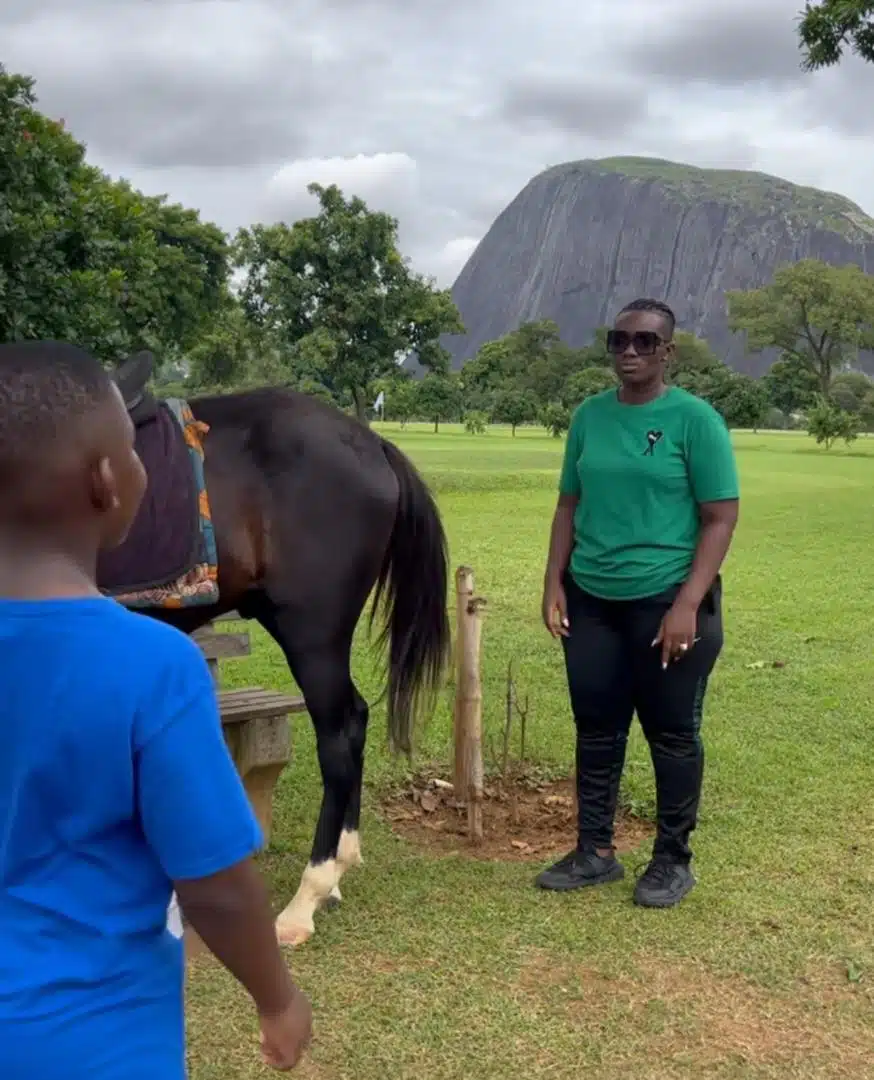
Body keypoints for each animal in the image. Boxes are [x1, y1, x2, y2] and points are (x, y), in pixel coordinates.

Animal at [110, 349, 449, 941]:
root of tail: (371, 444)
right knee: (357, 719)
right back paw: (341, 864)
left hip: (311, 635)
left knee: (339, 737)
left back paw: (306, 897)